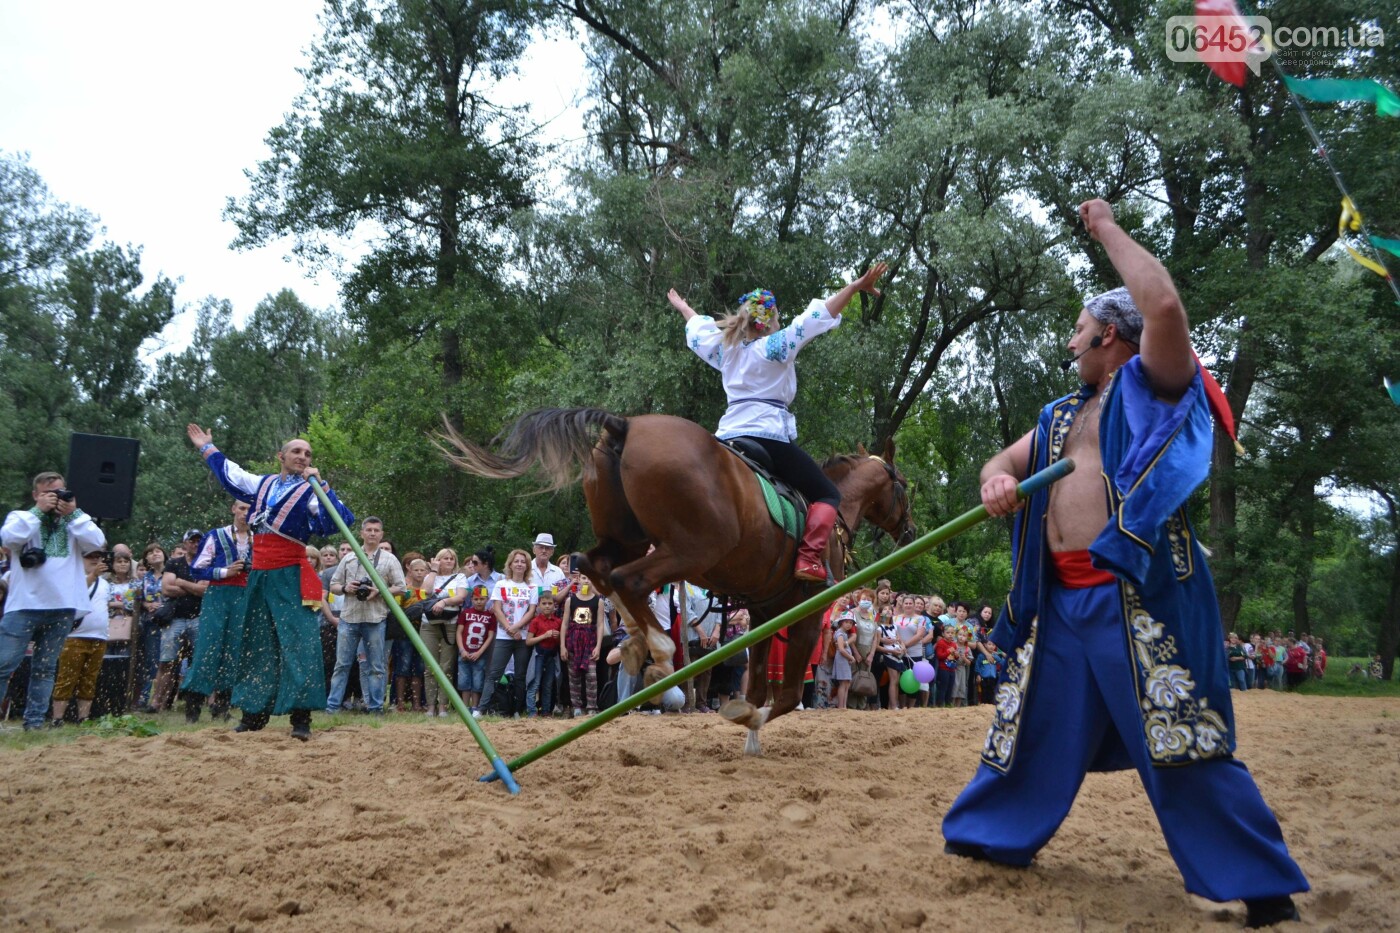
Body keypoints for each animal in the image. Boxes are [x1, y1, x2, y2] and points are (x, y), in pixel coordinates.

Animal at [439, 409, 918, 756]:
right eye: (904, 487)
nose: (911, 530)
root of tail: (625, 425)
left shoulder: (765, 609)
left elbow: (757, 683)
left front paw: (750, 733)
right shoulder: (809, 614)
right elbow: (782, 697)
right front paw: (751, 720)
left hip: (629, 539)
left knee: (594, 565)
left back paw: (638, 642)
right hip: (689, 551)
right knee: (626, 579)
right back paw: (659, 649)